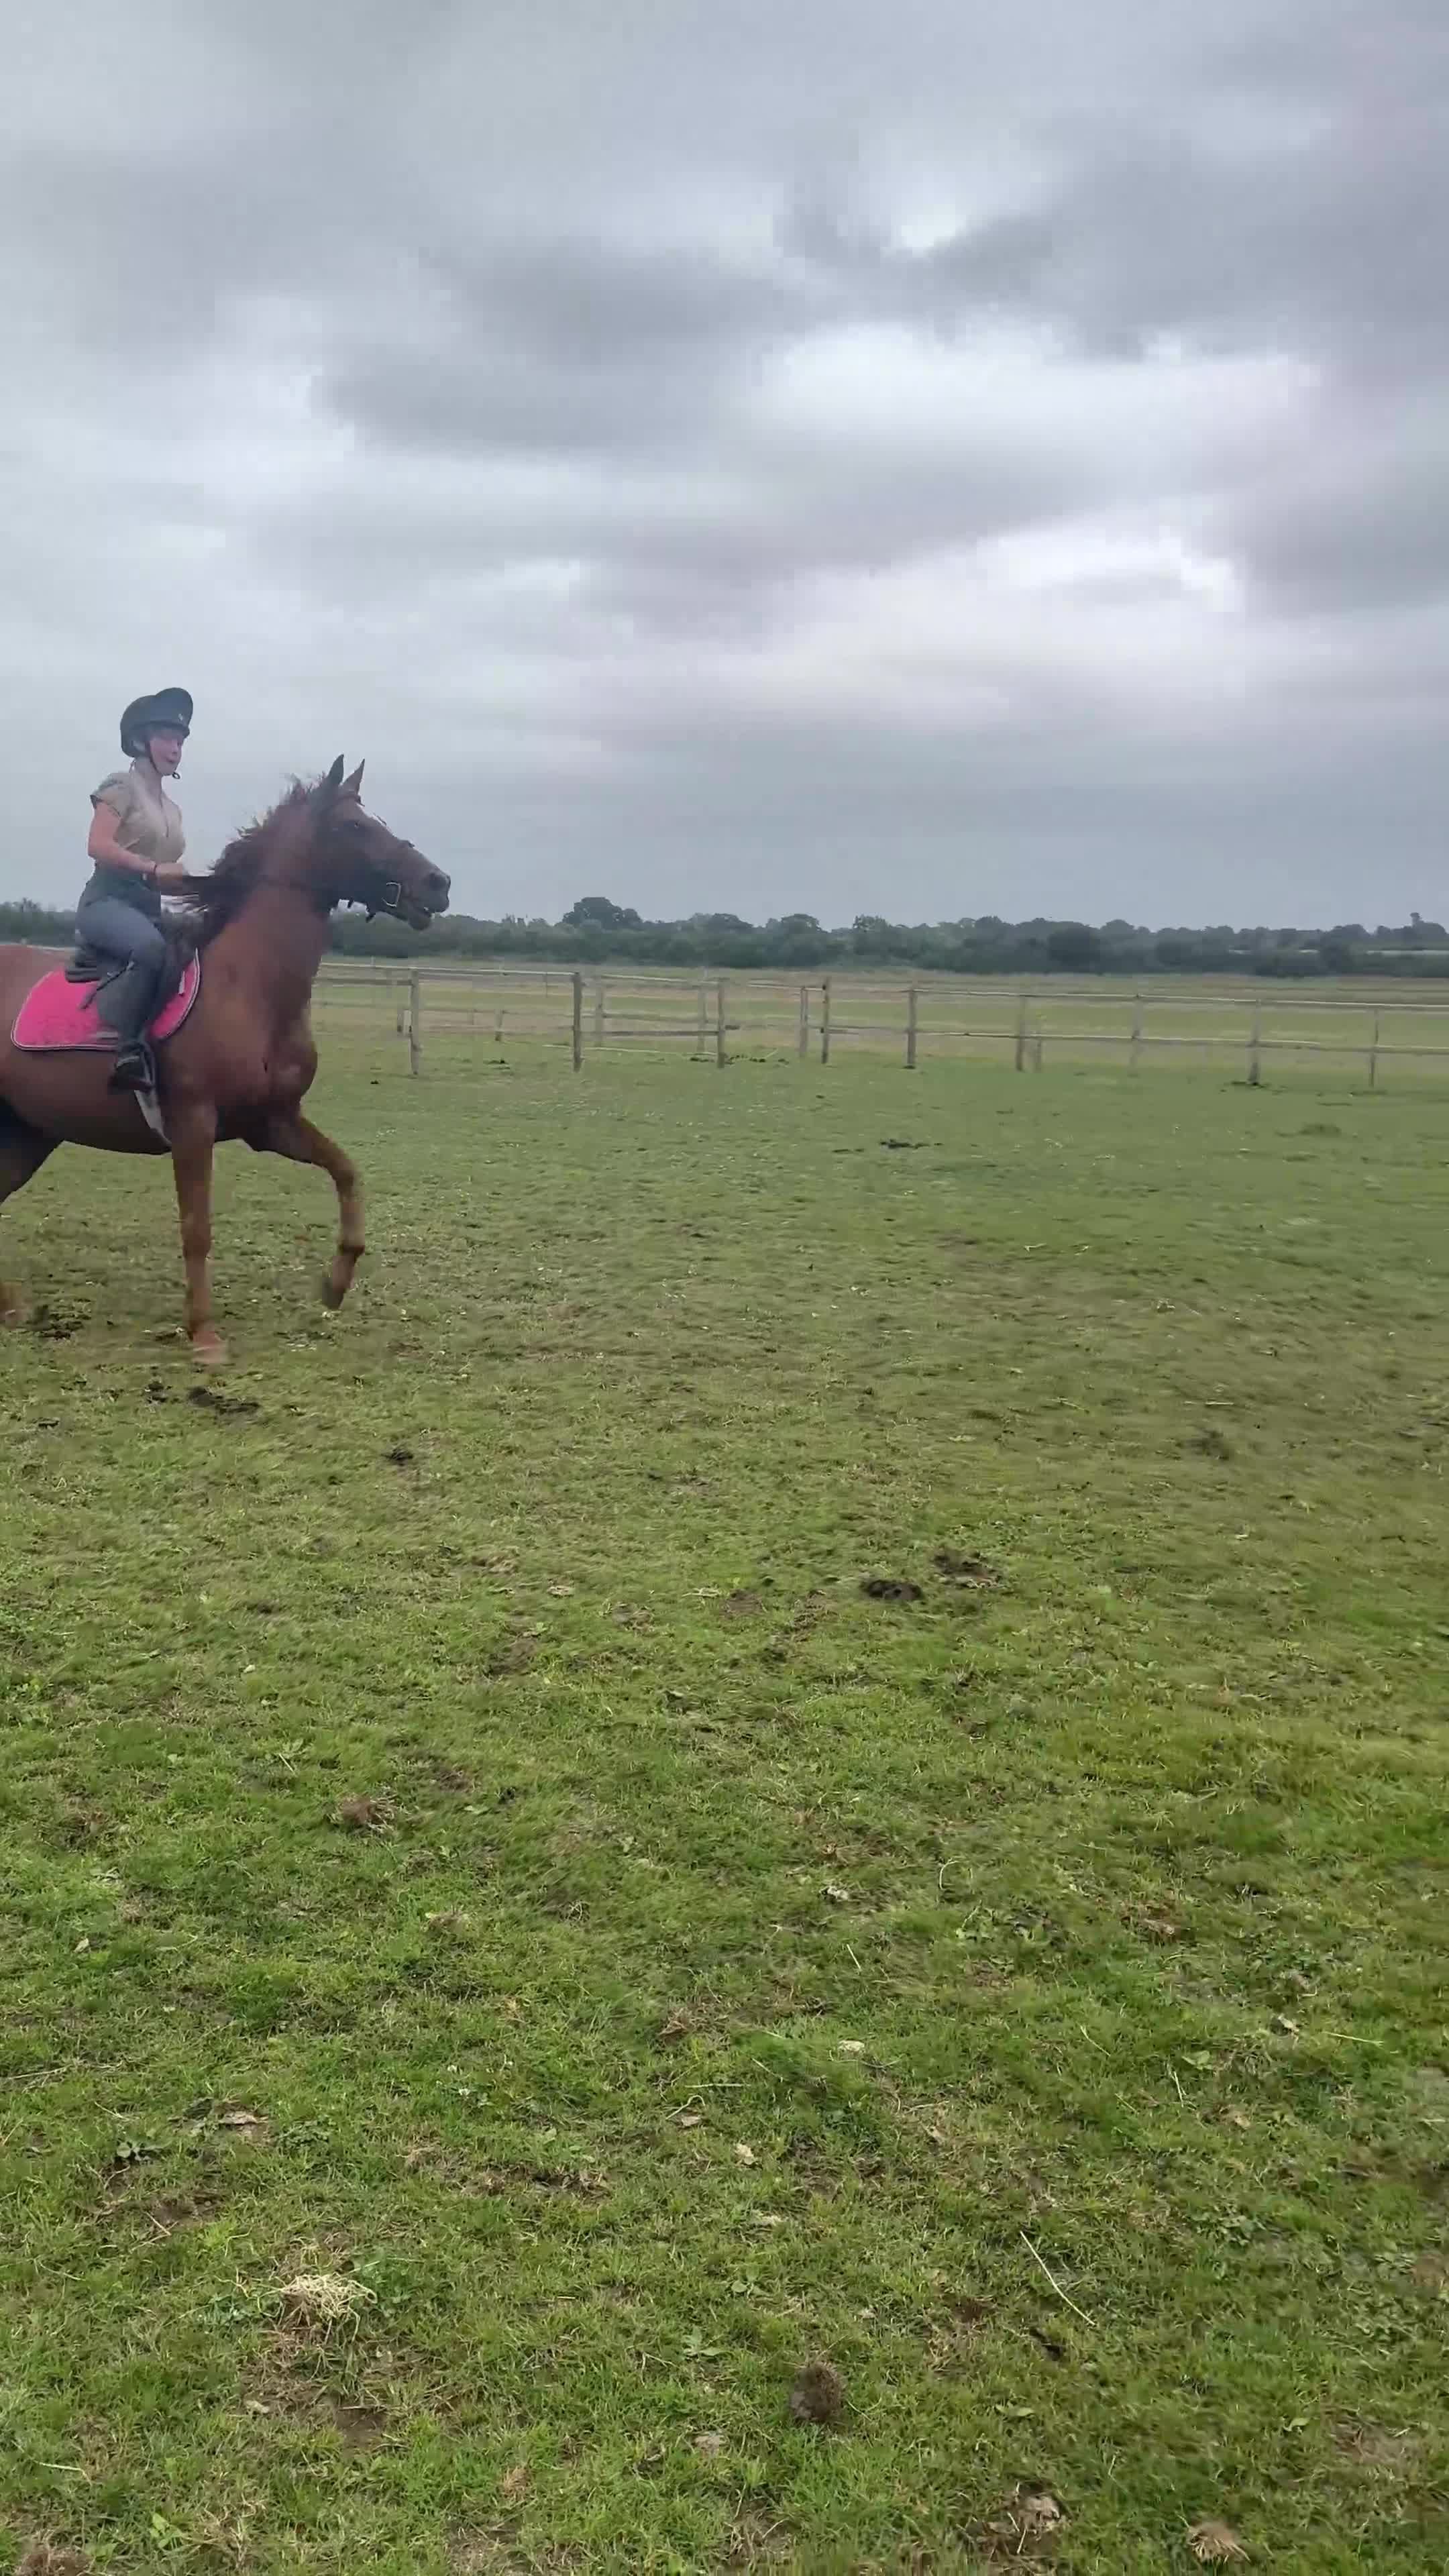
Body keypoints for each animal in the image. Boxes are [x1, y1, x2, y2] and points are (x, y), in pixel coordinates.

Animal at [0, 758, 450, 1367]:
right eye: (353, 827)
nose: (437, 883)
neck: (249, 986)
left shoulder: (272, 1123)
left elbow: (348, 1172)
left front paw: (335, 1284)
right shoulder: (194, 1122)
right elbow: (197, 1227)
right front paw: (204, 1335)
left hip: (29, 1133)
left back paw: (9, 1306)